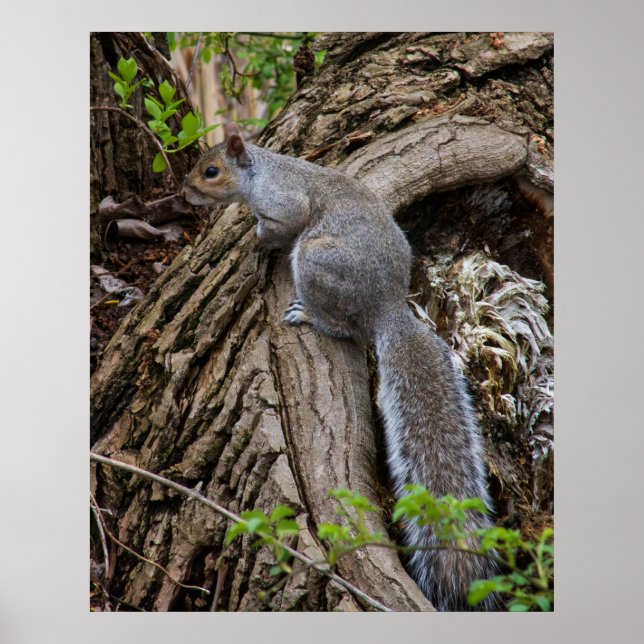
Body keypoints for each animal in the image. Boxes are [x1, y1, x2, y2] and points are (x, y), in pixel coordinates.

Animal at [182, 123, 497, 611]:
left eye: (211, 171)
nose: (184, 192)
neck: (262, 171)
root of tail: (386, 307)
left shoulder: (285, 205)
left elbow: (281, 226)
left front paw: (256, 238)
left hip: (316, 259)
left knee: (345, 326)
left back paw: (311, 316)